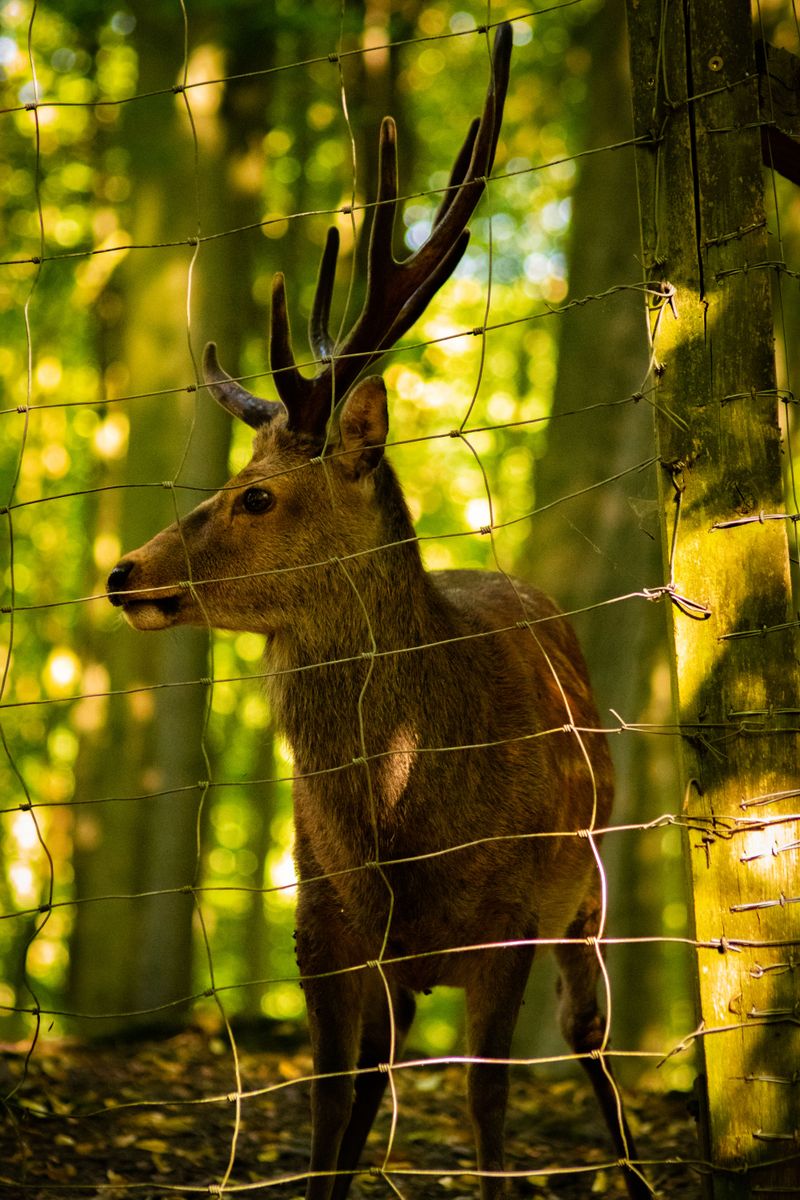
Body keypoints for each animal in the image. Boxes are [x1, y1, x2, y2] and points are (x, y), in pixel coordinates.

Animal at [106, 23, 650, 1200]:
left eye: (260, 496)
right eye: (231, 478)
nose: (124, 573)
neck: (408, 826)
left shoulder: (509, 924)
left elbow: (487, 1113)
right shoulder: (323, 925)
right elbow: (327, 1118)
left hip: (588, 885)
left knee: (588, 1039)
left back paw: (635, 1169)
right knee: (382, 1084)